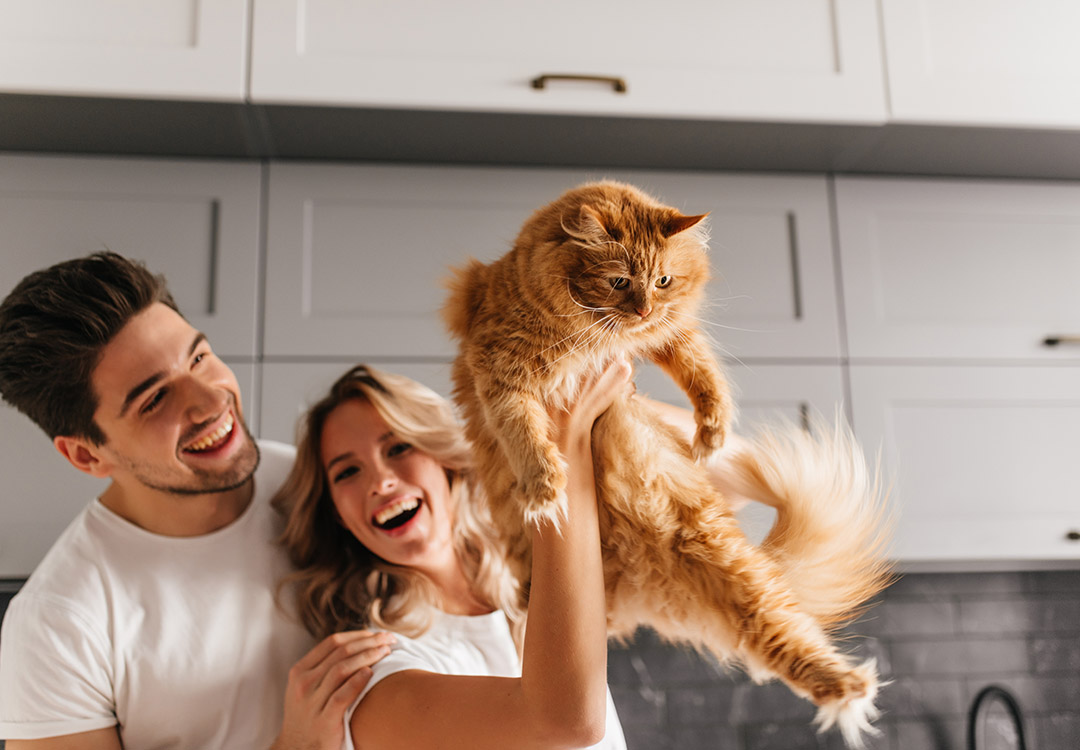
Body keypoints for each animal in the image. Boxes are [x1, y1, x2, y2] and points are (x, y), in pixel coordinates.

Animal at [443, 180, 893, 747]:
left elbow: (700, 367)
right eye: (618, 281)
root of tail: (639, 578)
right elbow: (524, 434)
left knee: (785, 635)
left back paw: (848, 689)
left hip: (729, 567)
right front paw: (545, 488)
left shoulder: (669, 329)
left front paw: (712, 432)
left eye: (663, 281)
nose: (641, 311)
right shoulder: (500, 371)